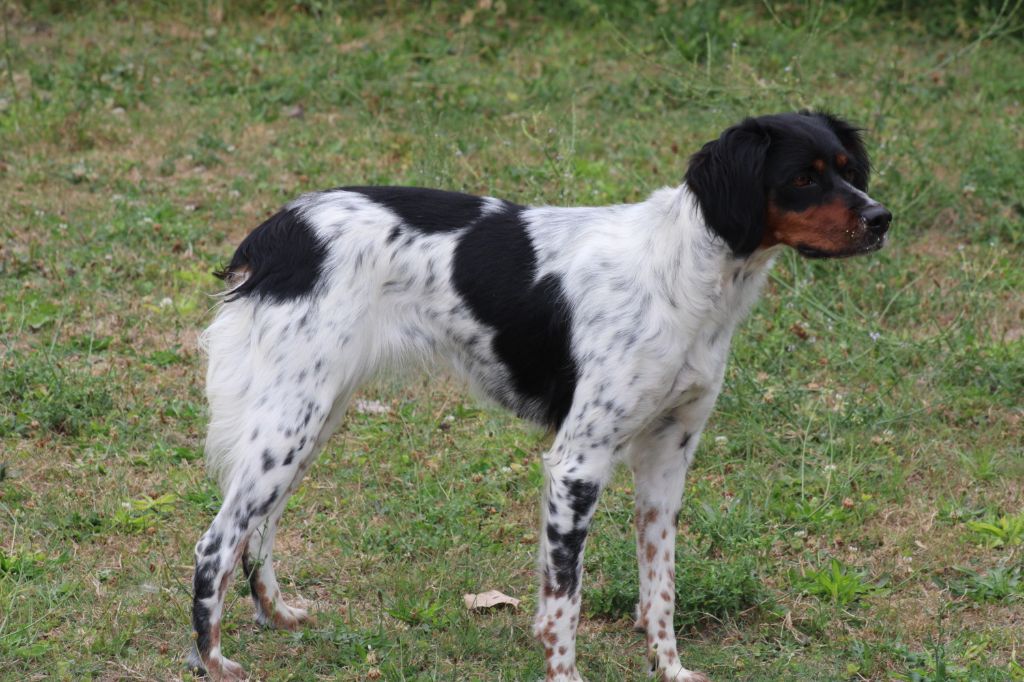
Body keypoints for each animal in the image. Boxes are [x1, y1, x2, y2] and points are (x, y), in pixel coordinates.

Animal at [190, 109, 888, 675]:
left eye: (848, 170)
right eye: (803, 178)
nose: (883, 219)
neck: (685, 274)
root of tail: (278, 230)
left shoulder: (667, 458)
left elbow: (660, 590)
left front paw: (669, 669)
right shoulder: (577, 464)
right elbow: (563, 602)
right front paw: (566, 674)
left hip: (309, 419)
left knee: (259, 529)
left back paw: (277, 615)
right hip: (291, 423)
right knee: (216, 543)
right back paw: (215, 664)